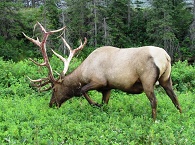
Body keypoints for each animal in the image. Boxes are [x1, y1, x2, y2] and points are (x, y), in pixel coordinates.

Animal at [23, 22, 182, 120]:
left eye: (55, 89)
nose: (51, 104)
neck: (84, 72)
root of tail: (166, 57)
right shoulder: (108, 87)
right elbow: (105, 103)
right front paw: (102, 109)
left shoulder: (99, 81)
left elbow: (82, 91)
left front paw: (95, 104)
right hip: (166, 79)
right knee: (175, 98)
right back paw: (182, 116)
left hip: (147, 80)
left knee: (154, 101)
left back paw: (153, 121)